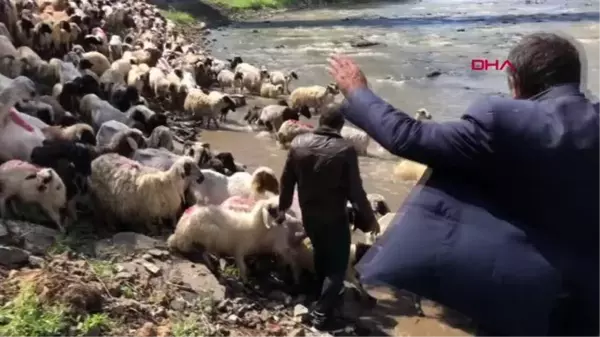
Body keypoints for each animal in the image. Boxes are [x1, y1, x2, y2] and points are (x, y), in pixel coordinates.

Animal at [165, 196, 302, 282]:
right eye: (274, 210)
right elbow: (242, 266)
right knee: (203, 252)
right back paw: (213, 263)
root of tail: (180, 233)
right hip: (210, 234)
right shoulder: (239, 250)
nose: (283, 220)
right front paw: (245, 281)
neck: (254, 226)